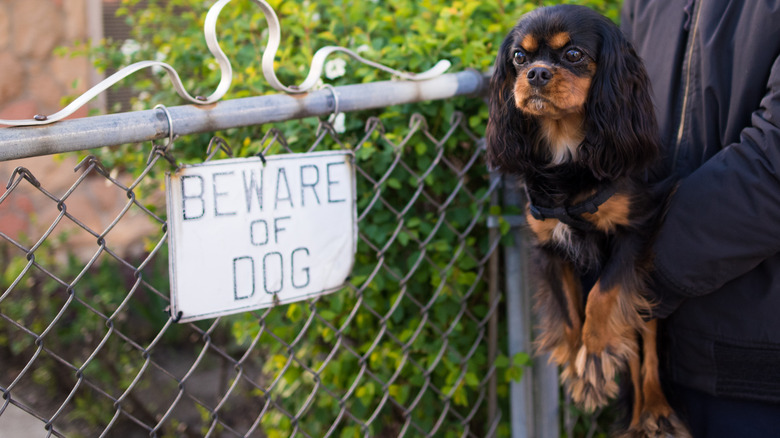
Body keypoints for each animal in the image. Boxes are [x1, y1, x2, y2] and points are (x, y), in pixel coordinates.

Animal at [484, 4, 692, 438]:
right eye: (519, 58)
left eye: (573, 54)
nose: (537, 74)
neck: (566, 145)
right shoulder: (548, 246)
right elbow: (568, 312)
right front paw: (581, 368)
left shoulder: (635, 231)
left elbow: (604, 296)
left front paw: (594, 356)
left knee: (646, 340)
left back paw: (655, 410)